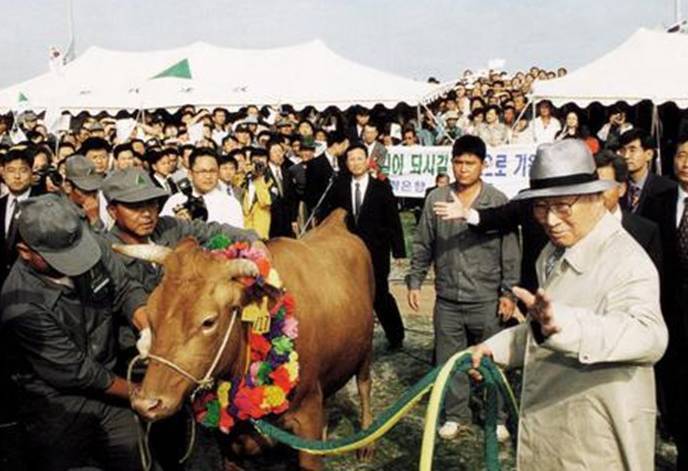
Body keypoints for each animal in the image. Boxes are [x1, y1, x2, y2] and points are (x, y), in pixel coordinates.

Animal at [121, 211, 374, 471]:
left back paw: (366, 443)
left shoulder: (307, 416)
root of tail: (333, 223)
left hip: (365, 347)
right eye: (150, 311)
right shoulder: (227, 445)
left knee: (364, 385)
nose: (147, 404)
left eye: (208, 321)